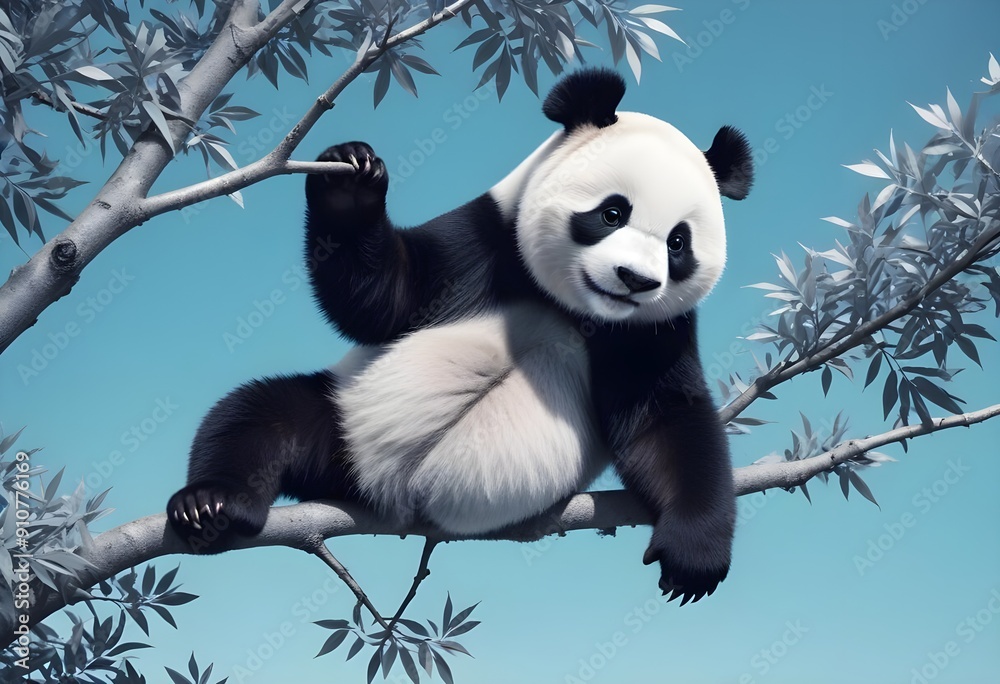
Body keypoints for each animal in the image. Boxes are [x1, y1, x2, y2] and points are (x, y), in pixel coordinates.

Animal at [167, 68, 753, 604]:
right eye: (612, 212)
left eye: (678, 243)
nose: (635, 280)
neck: (572, 308)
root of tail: (385, 491)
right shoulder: (483, 237)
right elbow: (383, 302)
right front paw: (349, 181)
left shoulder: (653, 331)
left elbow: (664, 421)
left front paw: (692, 557)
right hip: (345, 412)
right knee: (257, 418)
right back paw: (211, 507)